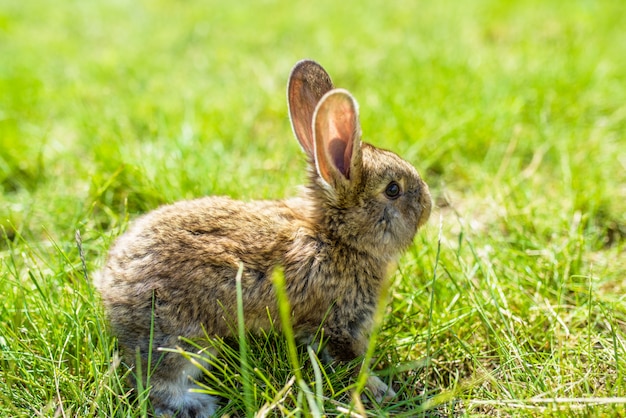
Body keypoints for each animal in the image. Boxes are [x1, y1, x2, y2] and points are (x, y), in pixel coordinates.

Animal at [95, 59, 432, 418]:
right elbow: (349, 363)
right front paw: (383, 392)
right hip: (183, 338)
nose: (428, 204)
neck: (336, 238)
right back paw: (199, 404)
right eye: (393, 190)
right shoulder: (336, 324)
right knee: (154, 381)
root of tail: (108, 284)